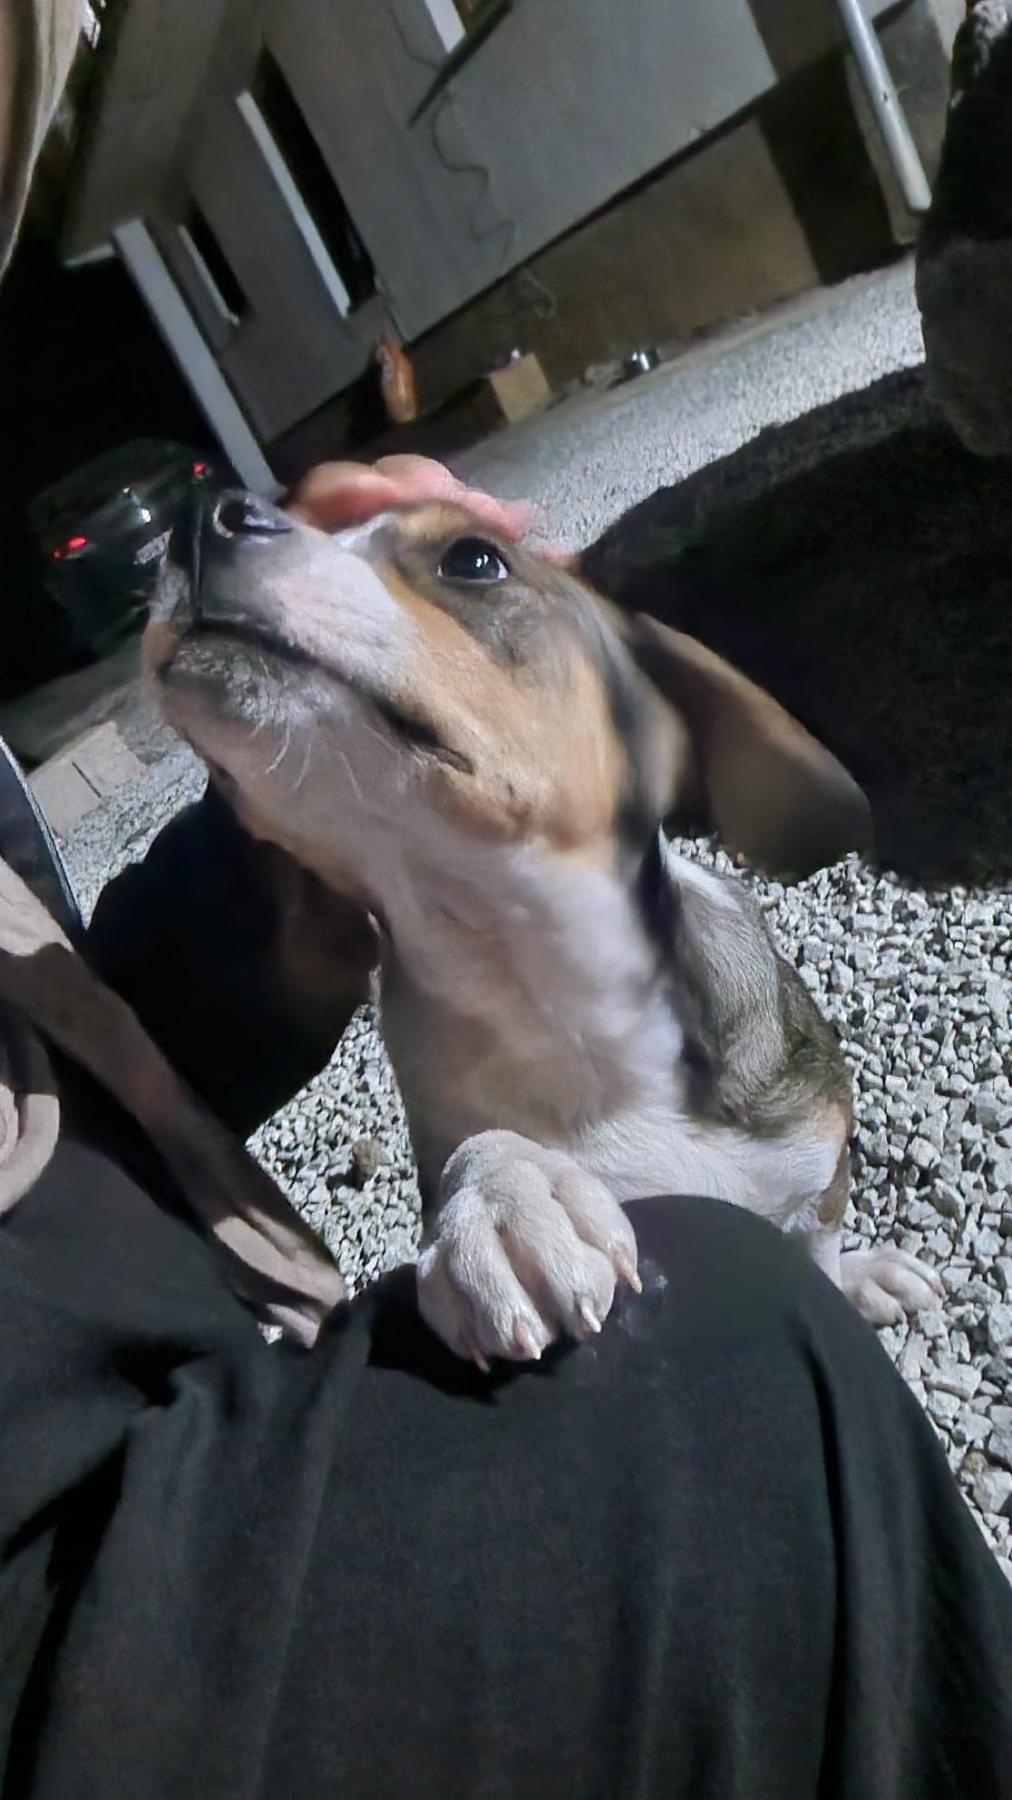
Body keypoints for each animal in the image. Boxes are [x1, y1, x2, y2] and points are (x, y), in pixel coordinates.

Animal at [145, 490, 943, 1366]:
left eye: (472, 558)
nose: (198, 516)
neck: (556, 997)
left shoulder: (814, 1168)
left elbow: (820, 1250)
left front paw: (853, 1279)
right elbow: (482, 1149)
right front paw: (507, 1199)